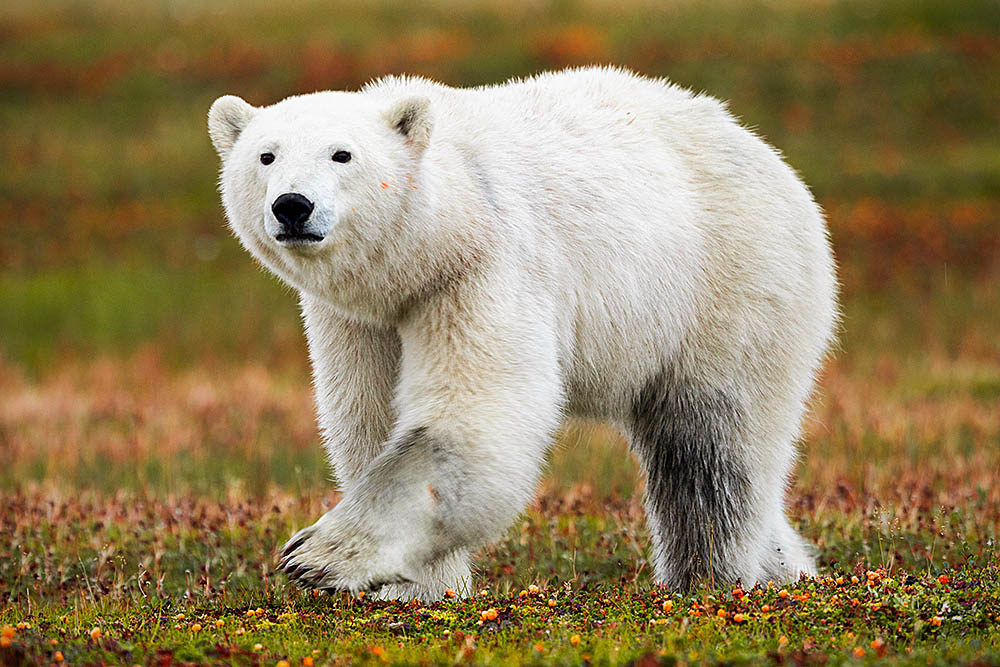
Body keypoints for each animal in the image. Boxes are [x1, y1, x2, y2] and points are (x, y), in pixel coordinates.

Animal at [209, 66, 836, 600]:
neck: (437, 236)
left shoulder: (486, 267)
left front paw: (317, 555)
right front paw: (421, 591)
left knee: (710, 449)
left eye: (342, 154)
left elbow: (469, 424)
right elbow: (369, 420)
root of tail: (766, 155)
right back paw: (790, 570)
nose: (293, 205)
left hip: (729, 289)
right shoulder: (361, 319)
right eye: (265, 156)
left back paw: (707, 580)